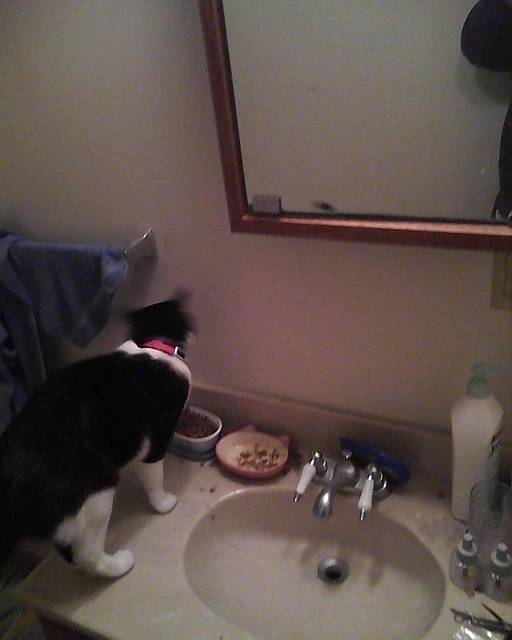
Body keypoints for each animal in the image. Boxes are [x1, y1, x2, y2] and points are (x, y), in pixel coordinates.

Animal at [0, 296, 194, 580]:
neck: (152, 348)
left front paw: (136, 479)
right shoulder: (159, 436)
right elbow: (155, 476)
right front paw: (162, 502)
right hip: (95, 491)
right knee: (85, 556)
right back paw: (120, 564)